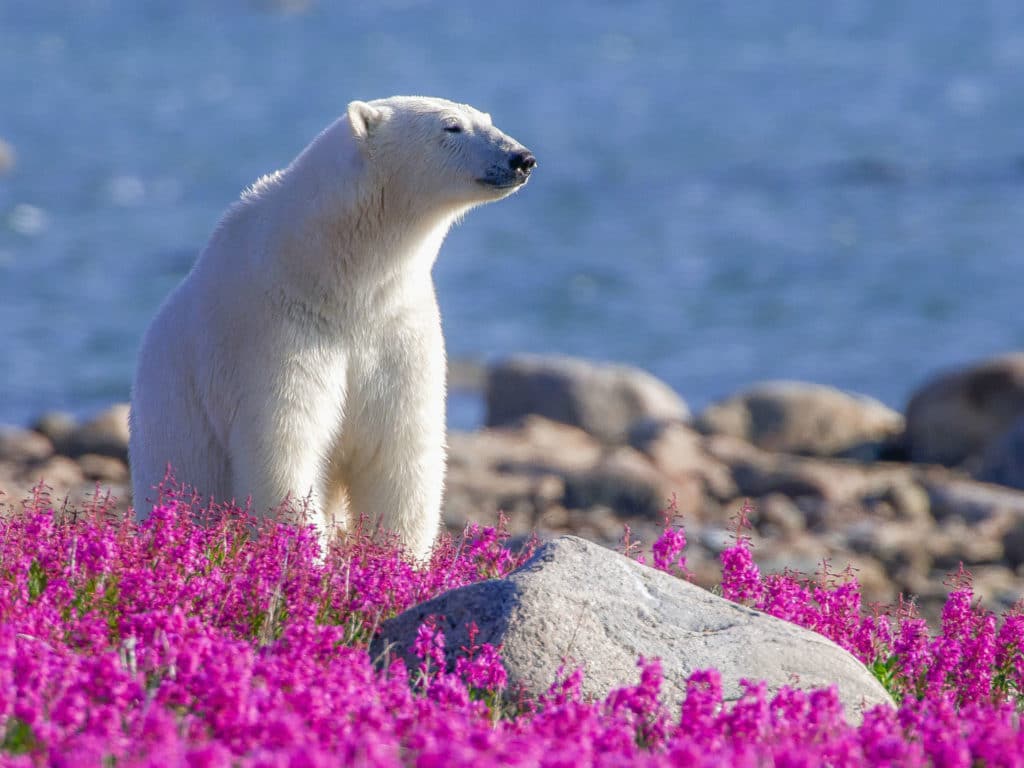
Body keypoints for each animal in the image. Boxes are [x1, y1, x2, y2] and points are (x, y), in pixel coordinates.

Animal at [129, 96, 536, 558]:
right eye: (451, 127)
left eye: (486, 119)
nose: (522, 158)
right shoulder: (272, 329)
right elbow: (284, 449)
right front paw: (307, 557)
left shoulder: (396, 328)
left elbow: (399, 452)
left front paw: (398, 561)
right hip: (173, 440)